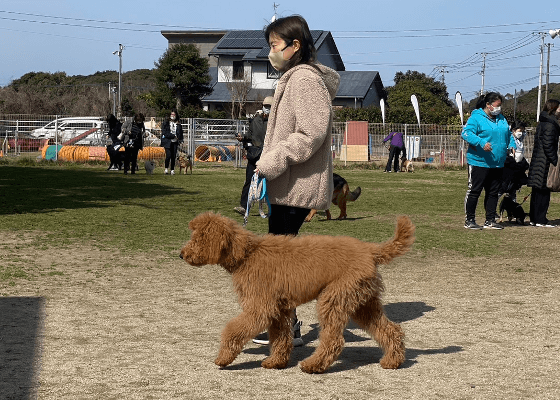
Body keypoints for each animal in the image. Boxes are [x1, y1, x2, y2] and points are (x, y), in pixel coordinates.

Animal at [179, 212, 416, 372]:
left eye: (197, 238)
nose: (181, 254)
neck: (246, 255)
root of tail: (369, 250)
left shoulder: (260, 307)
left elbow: (233, 330)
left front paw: (223, 358)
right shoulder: (278, 309)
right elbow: (280, 337)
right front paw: (275, 361)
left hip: (334, 298)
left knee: (333, 340)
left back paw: (313, 365)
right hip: (363, 303)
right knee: (390, 329)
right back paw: (392, 361)